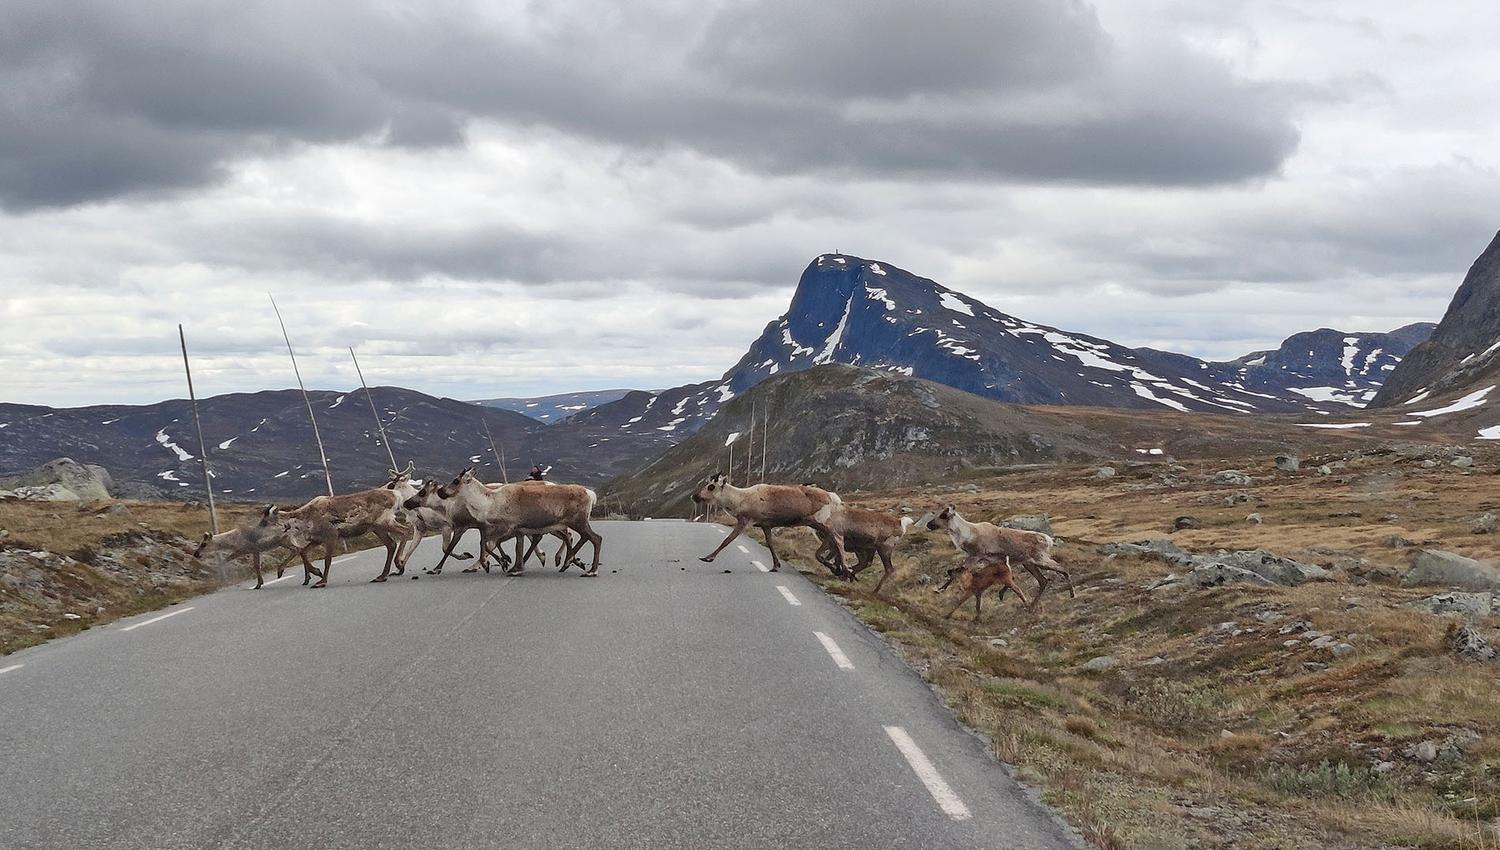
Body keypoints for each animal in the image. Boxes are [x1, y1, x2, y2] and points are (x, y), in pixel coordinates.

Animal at [281, 466, 420, 587]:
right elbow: (303, 552)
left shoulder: (331, 535)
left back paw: (398, 565)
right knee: (391, 544)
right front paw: (315, 572)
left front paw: (322, 581)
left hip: (384, 522)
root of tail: (396, 495)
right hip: (377, 528)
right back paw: (382, 575)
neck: (304, 518)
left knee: (404, 531)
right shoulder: (318, 538)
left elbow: (327, 559)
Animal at [691, 473, 848, 575]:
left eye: (711, 486)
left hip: (824, 522)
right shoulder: (765, 525)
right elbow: (770, 543)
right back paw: (836, 567)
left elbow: (727, 540)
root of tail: (834, 497)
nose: (694, 496)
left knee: (839, 540)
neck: (739, 501)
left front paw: (708, 557)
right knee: (831, 541)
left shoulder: (745, 520)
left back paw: (845, 570)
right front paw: (775, 565)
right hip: (817, 526)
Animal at [923, 504, 1074, 609]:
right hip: (1028, 563)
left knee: (1063, 569)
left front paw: (940, 589)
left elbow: (956, 573)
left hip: (1040, 560)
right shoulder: (991, 560)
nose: (928, 524)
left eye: (943, 515)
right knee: (1043, 581)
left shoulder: (975, 555)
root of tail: (1048, 540)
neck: (967, 533)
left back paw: (1072, 594)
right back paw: (1031, 605)